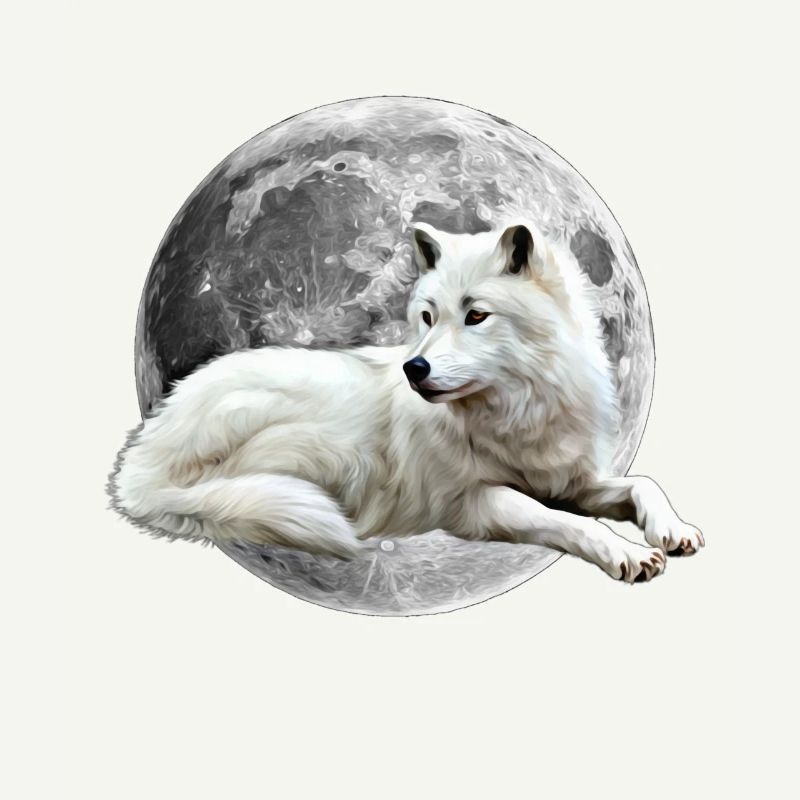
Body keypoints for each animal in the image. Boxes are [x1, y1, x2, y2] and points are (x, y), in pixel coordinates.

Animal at [109, 220, 703, 582]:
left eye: (476, 315)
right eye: (427, 316)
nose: (413, 369)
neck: (515, 408)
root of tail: (141, 456)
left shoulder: (570, 480)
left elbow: (641, 484)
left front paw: (672, 529)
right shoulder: (473, 504)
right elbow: (566, 522)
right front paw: (627, 551)